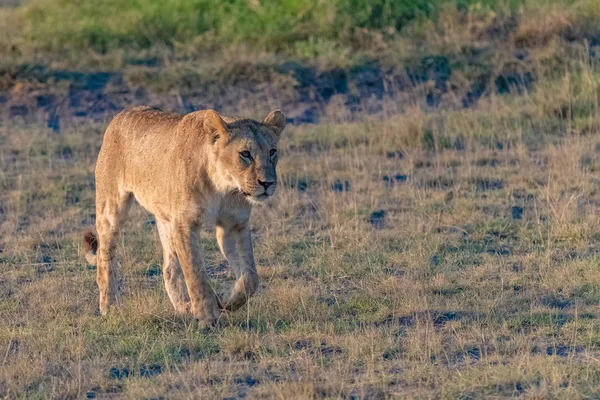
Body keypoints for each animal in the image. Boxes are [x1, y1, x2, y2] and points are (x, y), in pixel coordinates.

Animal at [82, 106, 286, 328]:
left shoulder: (234, 225)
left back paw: (183, 307)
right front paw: (207, 317)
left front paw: (224, 300)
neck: (223, 186)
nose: (267, 183)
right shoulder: (185, 224)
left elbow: (250, 277)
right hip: (111, 208)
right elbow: (196, 274)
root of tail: (123, 112)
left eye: (272, 152)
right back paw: (110, 307)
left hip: (165, 219)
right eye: (245, 154)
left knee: (169, 268)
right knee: (105, 258)